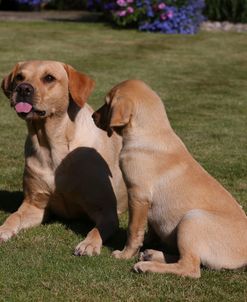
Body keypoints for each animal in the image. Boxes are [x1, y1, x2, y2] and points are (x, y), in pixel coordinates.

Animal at [0, 60, 127, 256]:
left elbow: (96, 229)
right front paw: (3, 229)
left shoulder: (106, 211)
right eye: (20, 77)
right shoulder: (35, 205)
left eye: (49, 78)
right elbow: (14, 216)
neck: (52, 145)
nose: (23, 89)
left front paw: (89, 244)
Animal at [92, 79, 247, 278]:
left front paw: (125, 254)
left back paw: (147, 265)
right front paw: (147, 244)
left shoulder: (137, 195)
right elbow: (149, 229)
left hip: (192, 219)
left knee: (190, 267)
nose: (92, 116)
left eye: (107, 104)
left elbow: (134, 230)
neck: (152, 133)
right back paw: (152, 254)